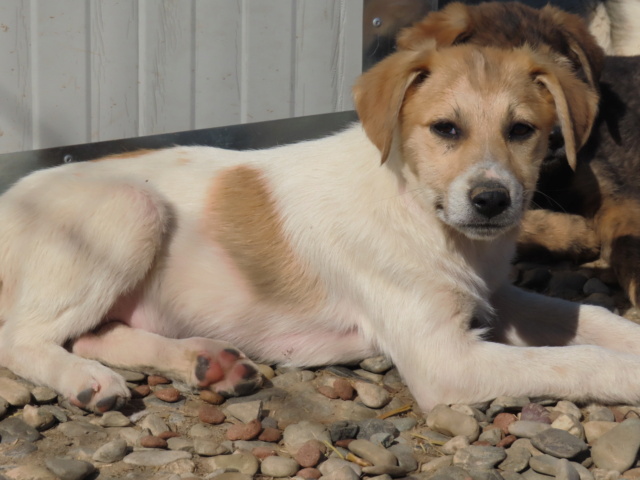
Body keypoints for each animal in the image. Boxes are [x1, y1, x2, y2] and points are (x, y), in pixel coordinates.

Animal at [1, 39, 640, 412]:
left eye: (522, 130)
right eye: (445, 129)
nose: (492, 201)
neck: (420, 212)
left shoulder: (493, 296)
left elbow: (594, 319)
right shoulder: (445, 361)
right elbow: (577, 360)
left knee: (95, 331)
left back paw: (207, 363)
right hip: (131, 210)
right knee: (22, 337)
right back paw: (85, 379)